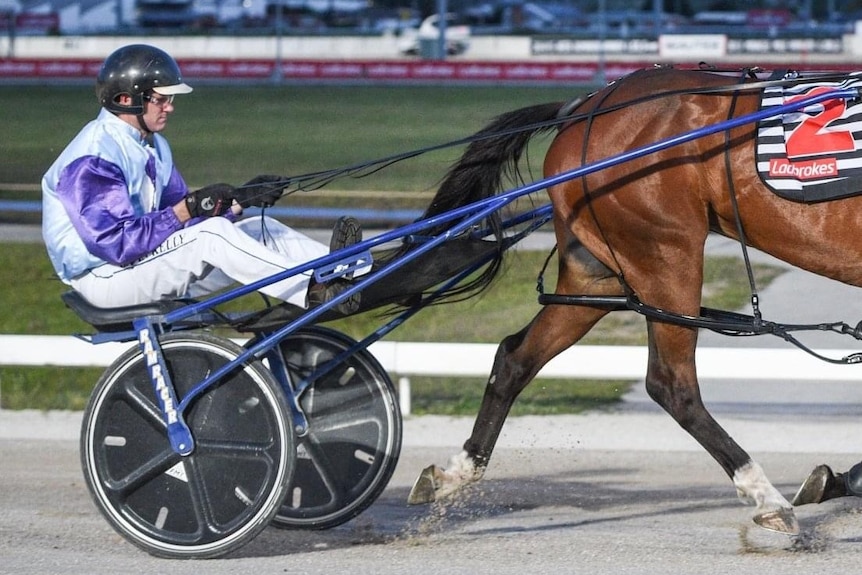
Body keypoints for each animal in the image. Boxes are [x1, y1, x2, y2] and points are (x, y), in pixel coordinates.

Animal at [404, 65, 862, 536]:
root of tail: (587, 107)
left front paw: (839, 480)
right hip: (666, 256)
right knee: (671, 384)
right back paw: (766, 495)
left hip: (599, 275)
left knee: (516, 357)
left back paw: (454, 473)